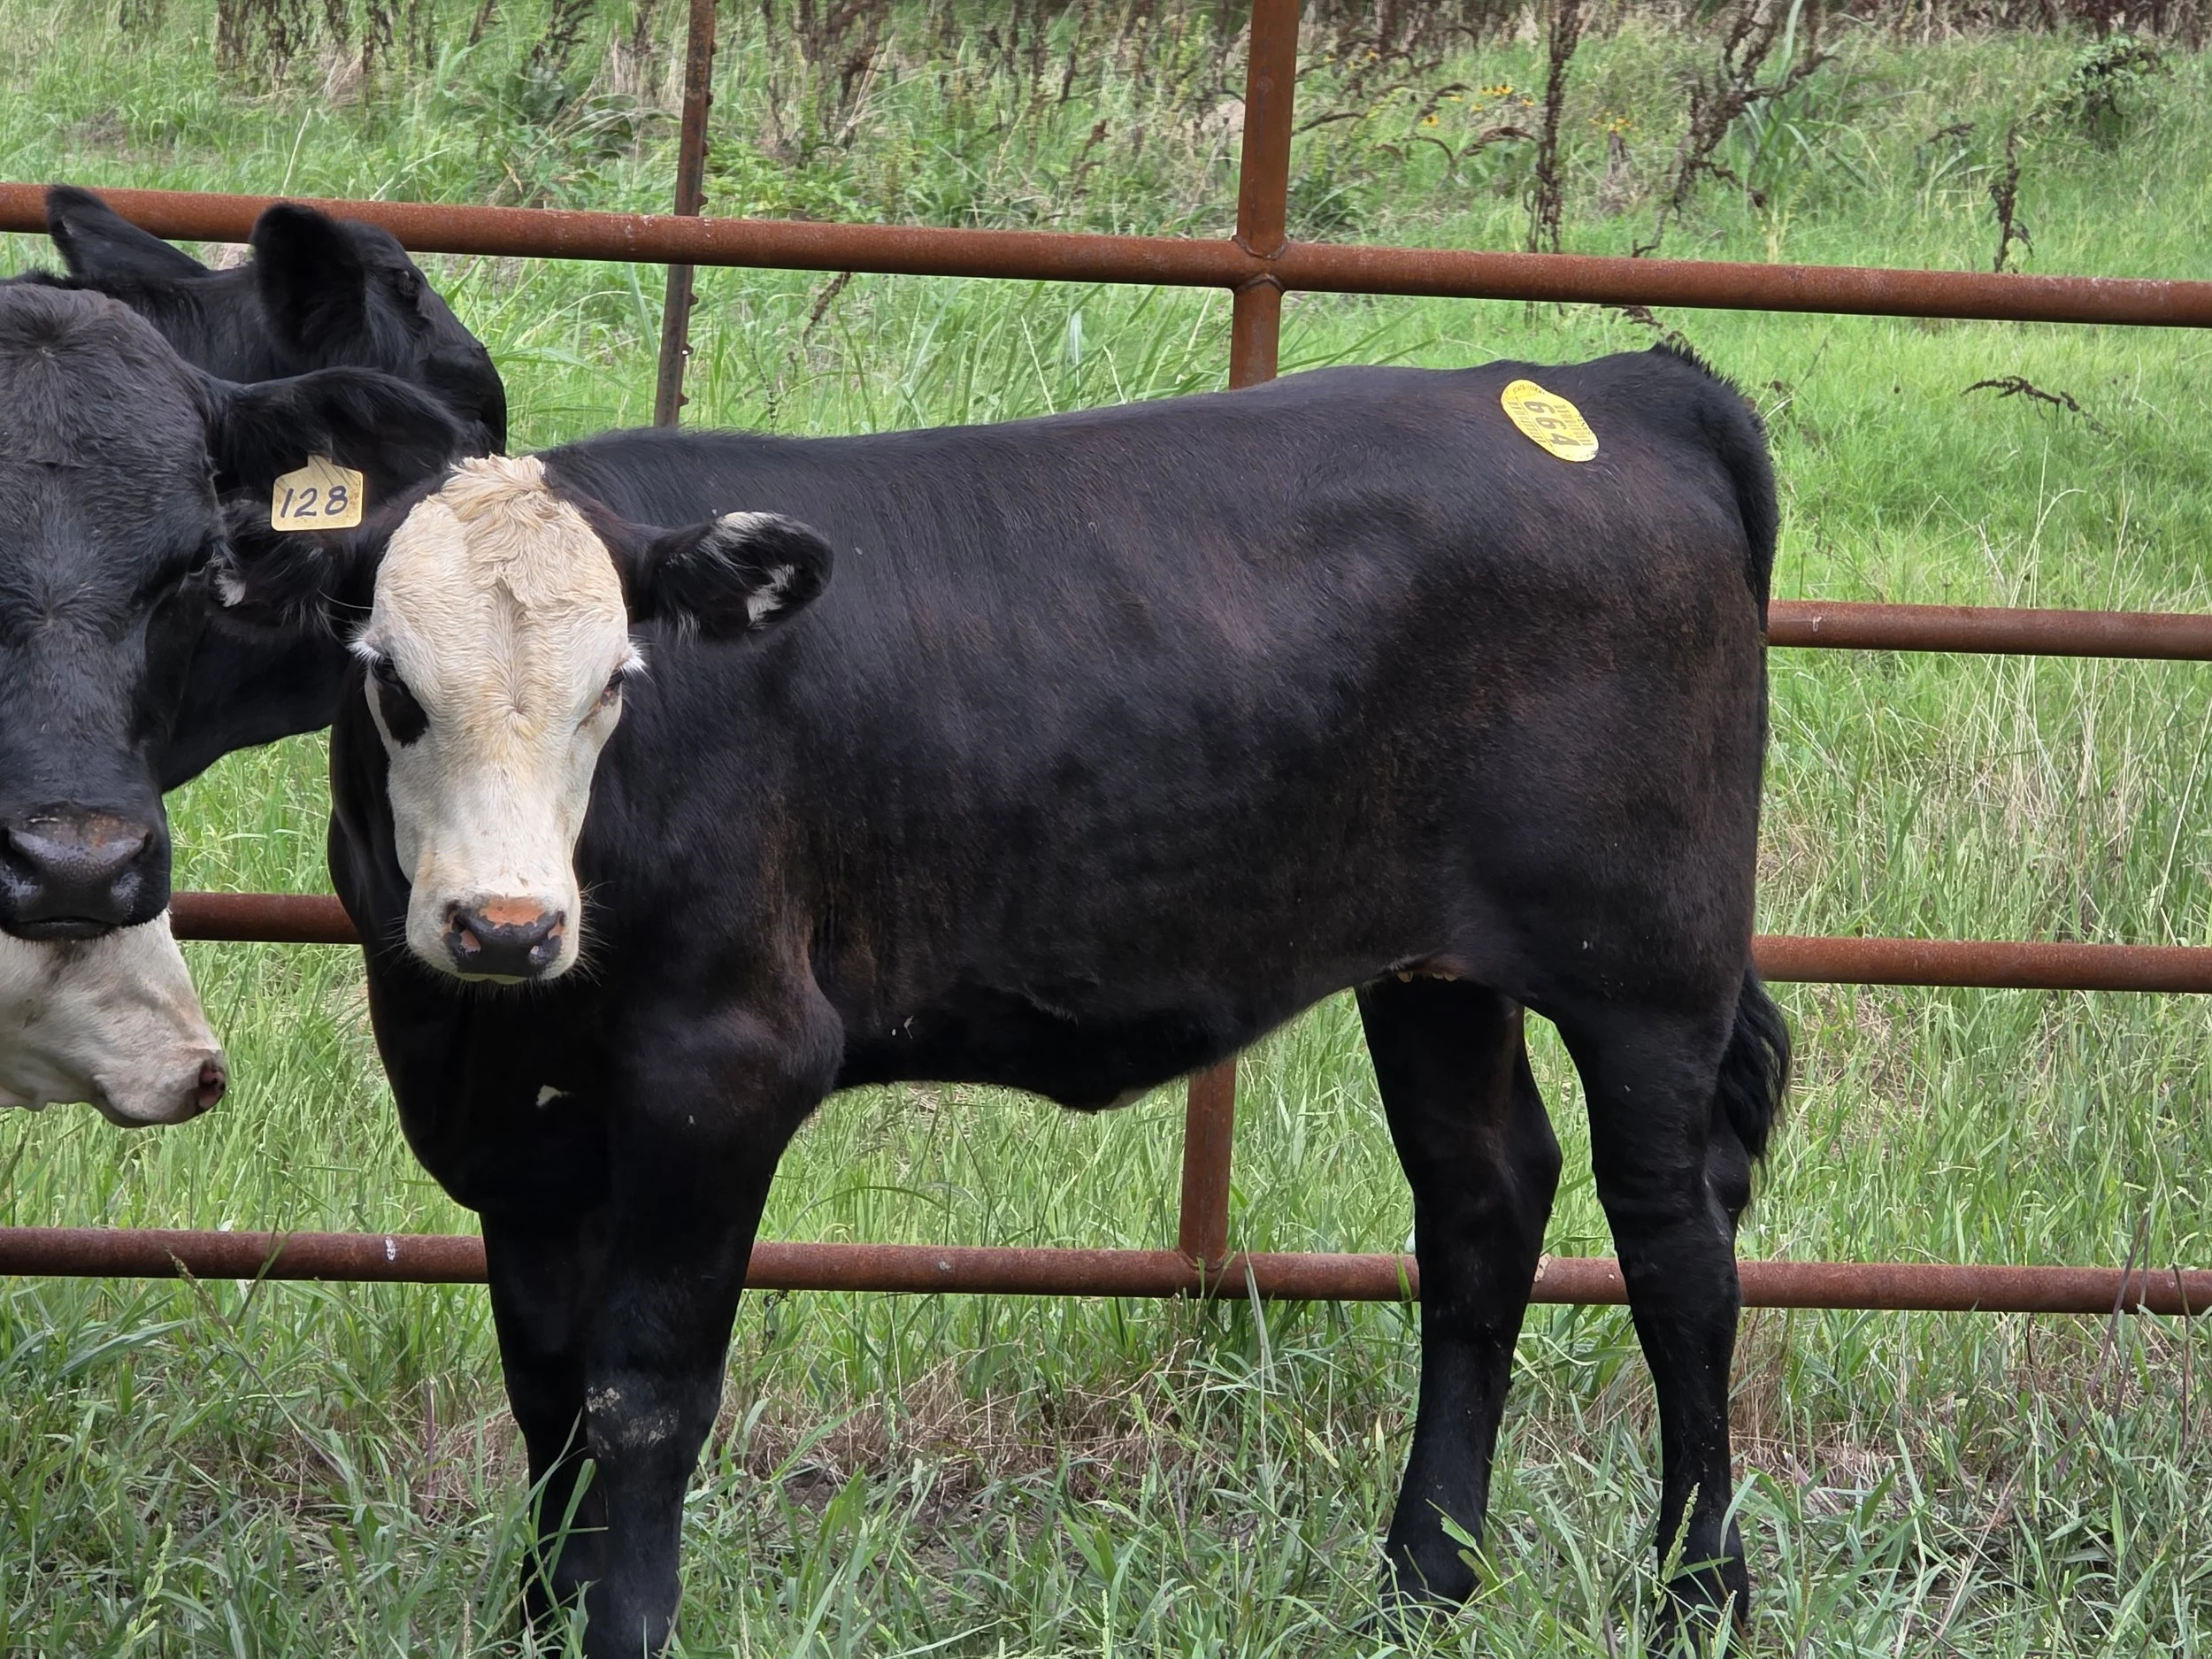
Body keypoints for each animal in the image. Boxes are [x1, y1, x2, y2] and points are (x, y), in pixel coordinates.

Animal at [222, 344, 1790, 1654]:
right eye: (389, 684)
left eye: (613, 682)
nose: (506, 923)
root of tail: (1617, 382)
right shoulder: (515, 1121)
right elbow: (548, 1391)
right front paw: (538, 1621)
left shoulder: (721, 1069)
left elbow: (644, 1392)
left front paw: (623, 1623)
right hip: (1438, 974)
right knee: (1481, 1207)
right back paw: (1419, 1582)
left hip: (1652, 970)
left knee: (1679, 1251)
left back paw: (1697, 1595)